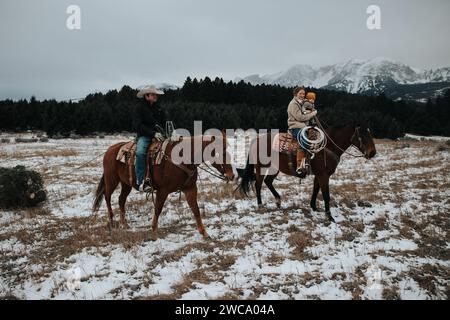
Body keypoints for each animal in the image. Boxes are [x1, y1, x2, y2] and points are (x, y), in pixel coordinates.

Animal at [93, 131, 237, 239]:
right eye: (221, 152)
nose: (232, 175)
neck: (181, 159)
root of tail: (110, 150)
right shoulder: (163, 191)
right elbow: (158, 208)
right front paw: (153, 230)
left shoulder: (190, 188)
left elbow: (195, 209)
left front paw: (204, 233)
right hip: (111, 179)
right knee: (107, 196)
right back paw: (112, 221)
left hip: (126, 184)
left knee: (121, 199)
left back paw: (125, 224)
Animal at [239, 120, 376, 222]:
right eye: (362, 134)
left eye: (370, 132)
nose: (372, 152)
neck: (327, 147)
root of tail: (256, 140)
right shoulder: (324, 175)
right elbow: (326, 194)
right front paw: (329, 216)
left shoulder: (319, 175)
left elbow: (316, 189)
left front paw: (314, 207)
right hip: (260, 167)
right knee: (258, 184)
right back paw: (260, 205)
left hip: (274, 168)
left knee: (268, 181)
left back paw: (278, 201)